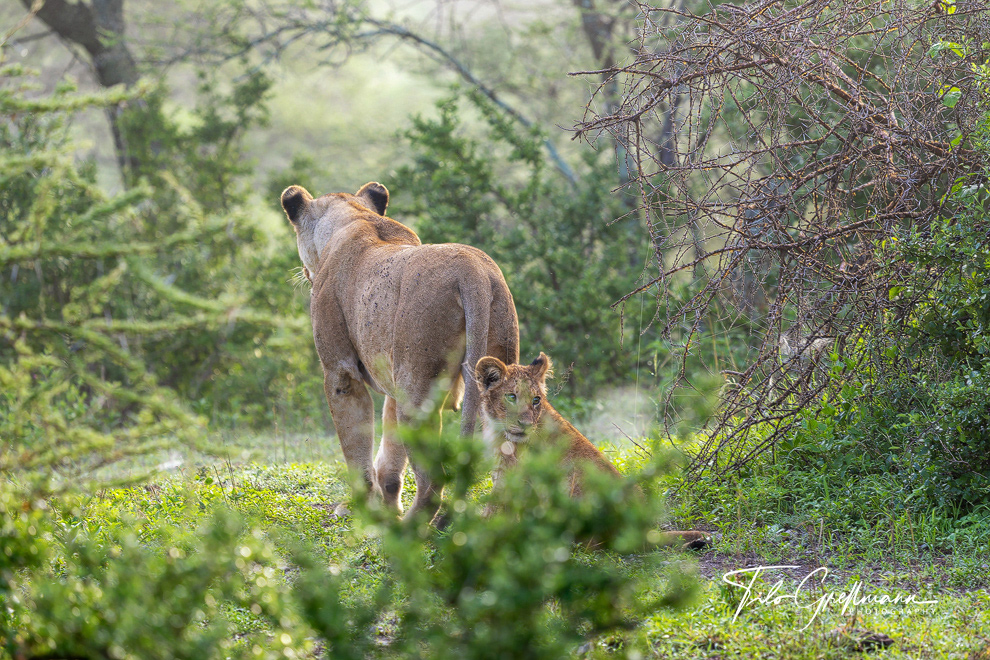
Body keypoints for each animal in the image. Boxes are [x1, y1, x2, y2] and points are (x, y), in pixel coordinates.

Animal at [282, 182, 519, 523]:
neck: (353, 215)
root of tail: (471, 271)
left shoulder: (341, 372)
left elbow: (357, 450)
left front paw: (360, 510)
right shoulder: (394, 381)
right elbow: (390, 458)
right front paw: (388, 509)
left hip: (416, 395)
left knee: (434, 480)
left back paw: (413, 526)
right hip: (496, 381)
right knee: (507, 468)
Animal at [475, 353, 711, 551]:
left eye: (535, 400)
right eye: (511, 397)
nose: (525, 425)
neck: (498, 430)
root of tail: (643, 531)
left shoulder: (512, 474)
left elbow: (494, 509)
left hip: (572, 477)